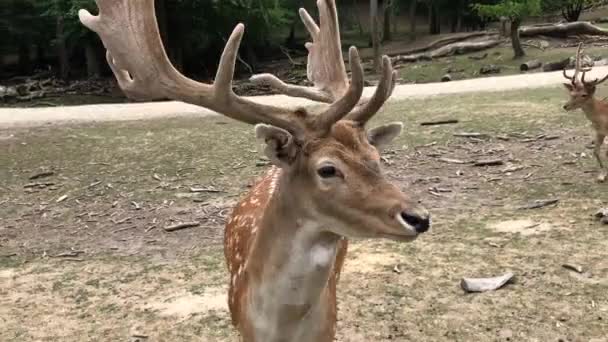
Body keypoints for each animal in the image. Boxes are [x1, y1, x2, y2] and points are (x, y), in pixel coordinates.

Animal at [564, 42, 608, 183]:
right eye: (572, 93)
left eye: (584, 94)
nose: (565, 106)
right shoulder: (600, 132)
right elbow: (596, 152)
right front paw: (602, 175)